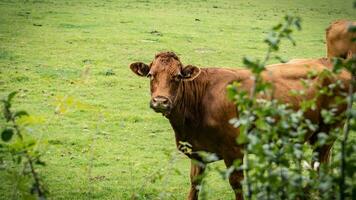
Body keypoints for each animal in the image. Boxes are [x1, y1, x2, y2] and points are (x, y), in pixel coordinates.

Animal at [129, 52, 350, 200]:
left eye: (177, 76)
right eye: (151, 75)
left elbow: (237, 184)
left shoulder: (234, 151)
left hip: (329, 131)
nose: (160, 101)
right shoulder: (198, 152)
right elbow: (195, 184)